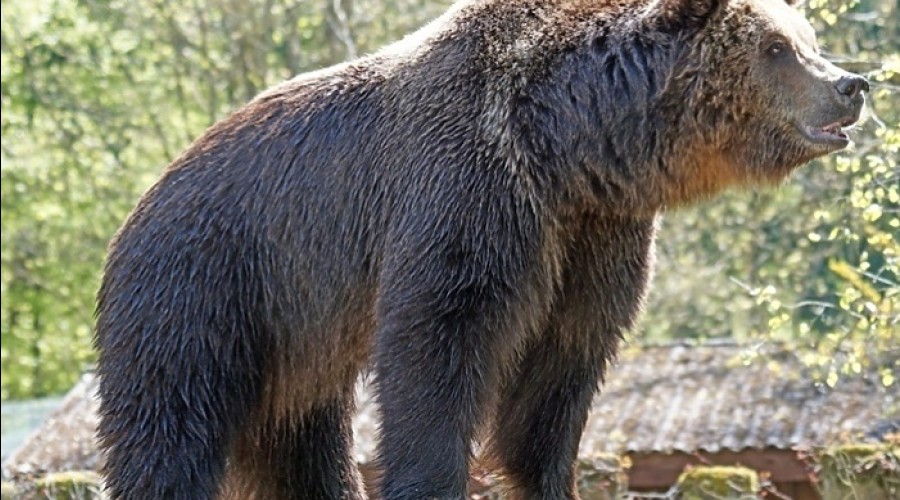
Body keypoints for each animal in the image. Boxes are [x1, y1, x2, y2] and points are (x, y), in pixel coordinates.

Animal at [94, 0, 867, 498]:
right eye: (777, 47)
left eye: (807, 36)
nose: (851, 85)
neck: (568, 146)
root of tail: (144, 200)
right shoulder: (469, 192)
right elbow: (438, 341)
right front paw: (431, 480)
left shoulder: (594, 236)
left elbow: (562, 369)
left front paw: (546, 477)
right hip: (208, 283)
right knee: (171, 421)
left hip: (298, 335)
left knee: (300, 442)